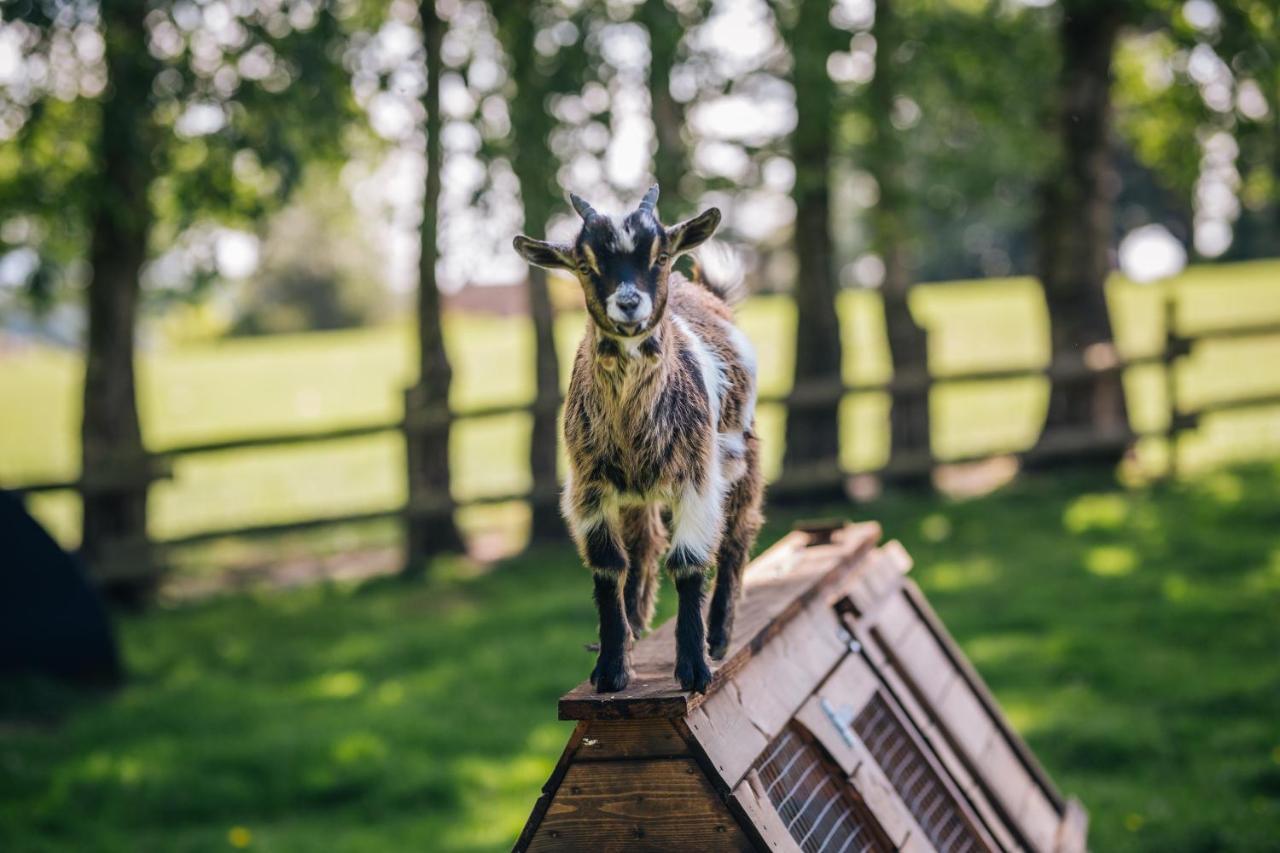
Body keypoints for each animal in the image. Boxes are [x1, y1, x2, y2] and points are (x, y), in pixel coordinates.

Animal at [514, 185, 762, 691]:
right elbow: (610, 565)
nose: (629, 303)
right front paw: (611, 666)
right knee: (643, 546)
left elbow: (688, 562)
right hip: (636, 494)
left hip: (743, 454)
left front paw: (694, 667)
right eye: (585, 264)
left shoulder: (696, 478)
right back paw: (635, 623)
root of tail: (704, 291)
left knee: (737, 534)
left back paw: (720, 633)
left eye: (660, 255)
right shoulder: (589, 488)